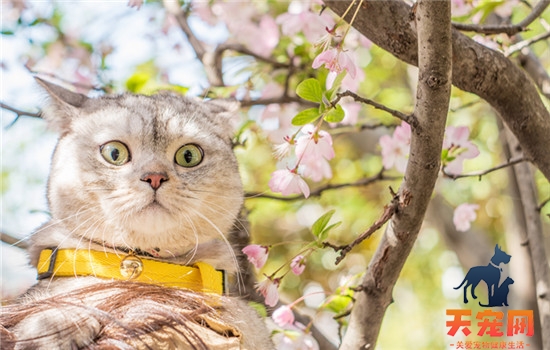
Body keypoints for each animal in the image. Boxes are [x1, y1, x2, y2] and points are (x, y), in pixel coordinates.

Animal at [0, 77, 274, 350]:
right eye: (114, 153)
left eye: (189, 156)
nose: (154, 177)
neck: (142, 264)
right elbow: (62, 303)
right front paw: (53, 327)